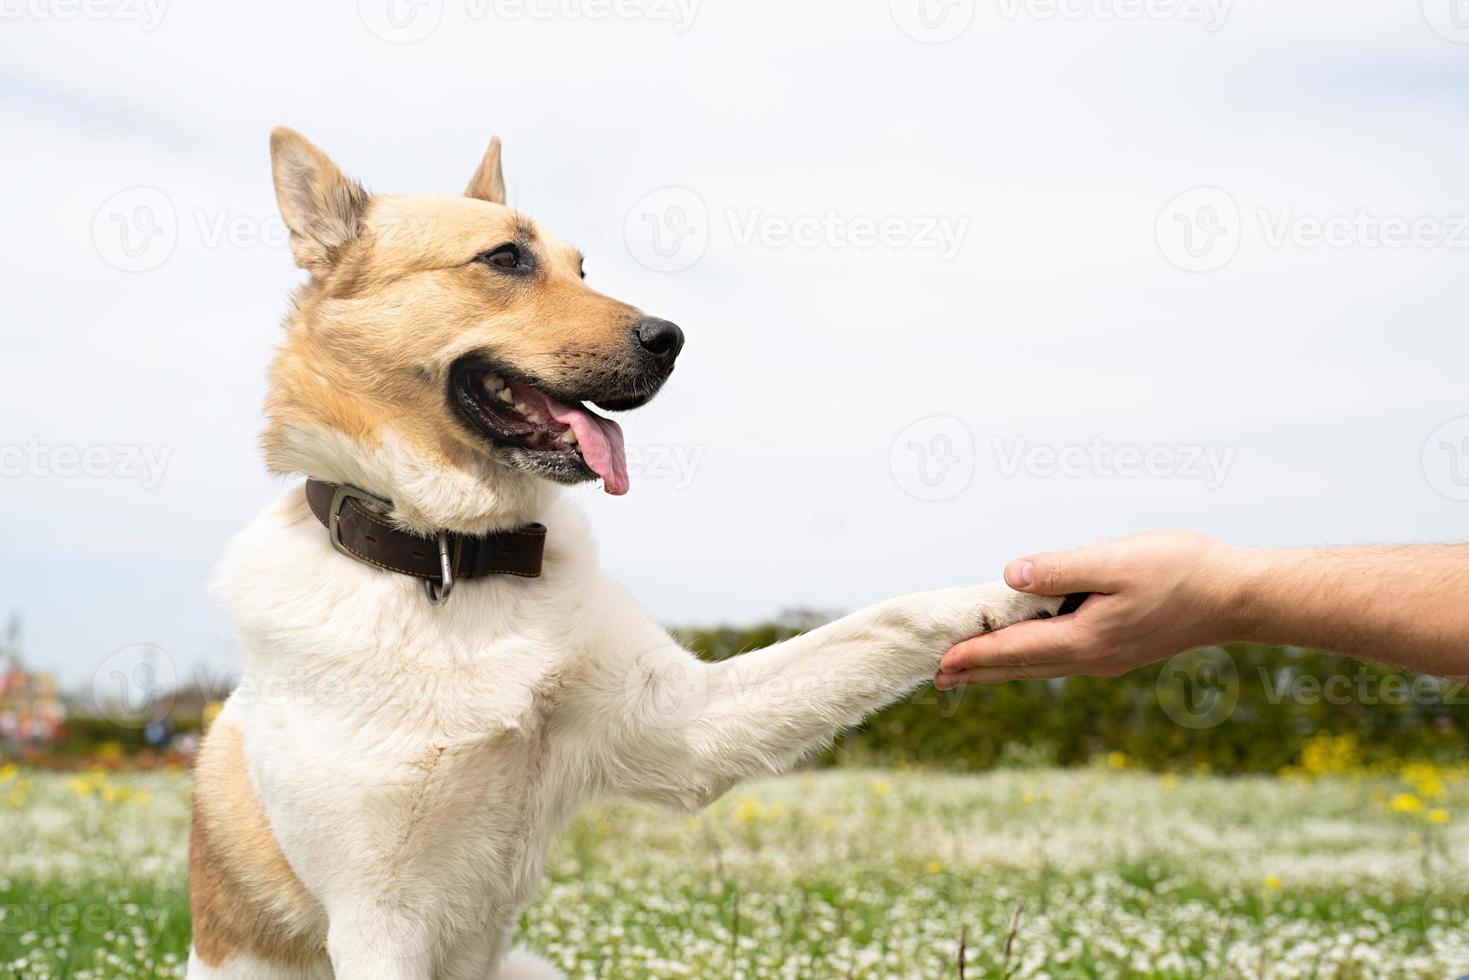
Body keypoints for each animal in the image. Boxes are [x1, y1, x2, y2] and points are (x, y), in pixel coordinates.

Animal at [186, 126, 1069, 975]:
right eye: (504, 258)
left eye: (582, 267)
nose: (671, 338)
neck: (451, 561)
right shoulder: (378, 920)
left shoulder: (689, 721)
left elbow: (885, 620)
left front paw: (1010, 594)